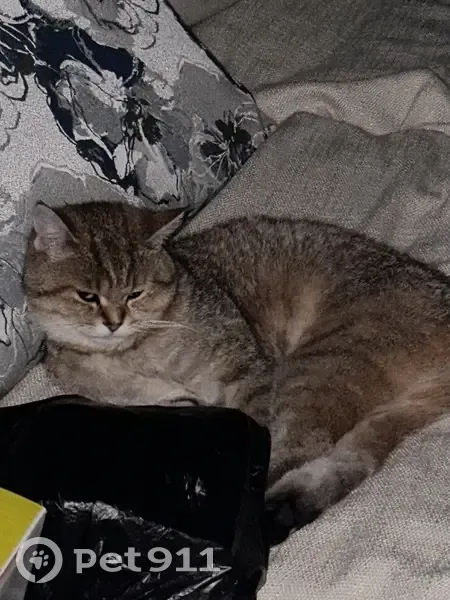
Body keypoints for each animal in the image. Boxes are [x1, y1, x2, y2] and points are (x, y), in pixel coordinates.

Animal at [23, 200, 450, 544]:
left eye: (135, 293)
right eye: (87, 296)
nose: (114, 323)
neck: (130, 352)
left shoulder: (245, 371)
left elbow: (257, 429)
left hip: (321, 363)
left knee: (300, 448)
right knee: (347, 461)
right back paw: (281, 511)